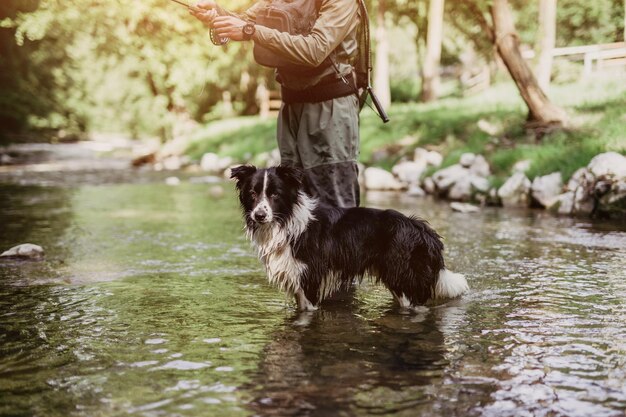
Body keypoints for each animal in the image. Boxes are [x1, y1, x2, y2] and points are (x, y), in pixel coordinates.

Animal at [232, 164, 466, 310]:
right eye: (252, 193)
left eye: (275, 194)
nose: (259, 215)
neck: (286, 222)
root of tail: (423, 229)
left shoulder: (310, 279)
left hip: (403, 277)